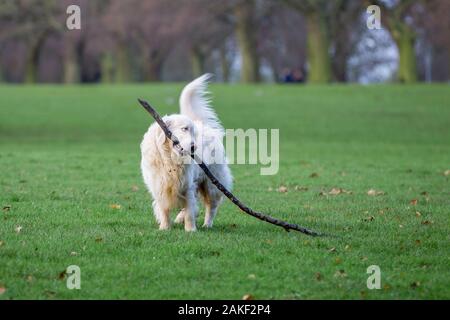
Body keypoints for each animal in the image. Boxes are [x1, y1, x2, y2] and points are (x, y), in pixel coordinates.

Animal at [141, 74, 232, 231]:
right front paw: (164, 228)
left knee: (211, 207)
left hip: (211, 184)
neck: (170, 158)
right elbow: (164, 209)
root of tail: (203, 125)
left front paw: (191, 230)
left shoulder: (187, 185)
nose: (194, 147)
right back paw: (180, 218)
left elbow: (190, 210)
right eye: (184, 129)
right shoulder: (159, 186)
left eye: (193, 132)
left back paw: (207, 224)